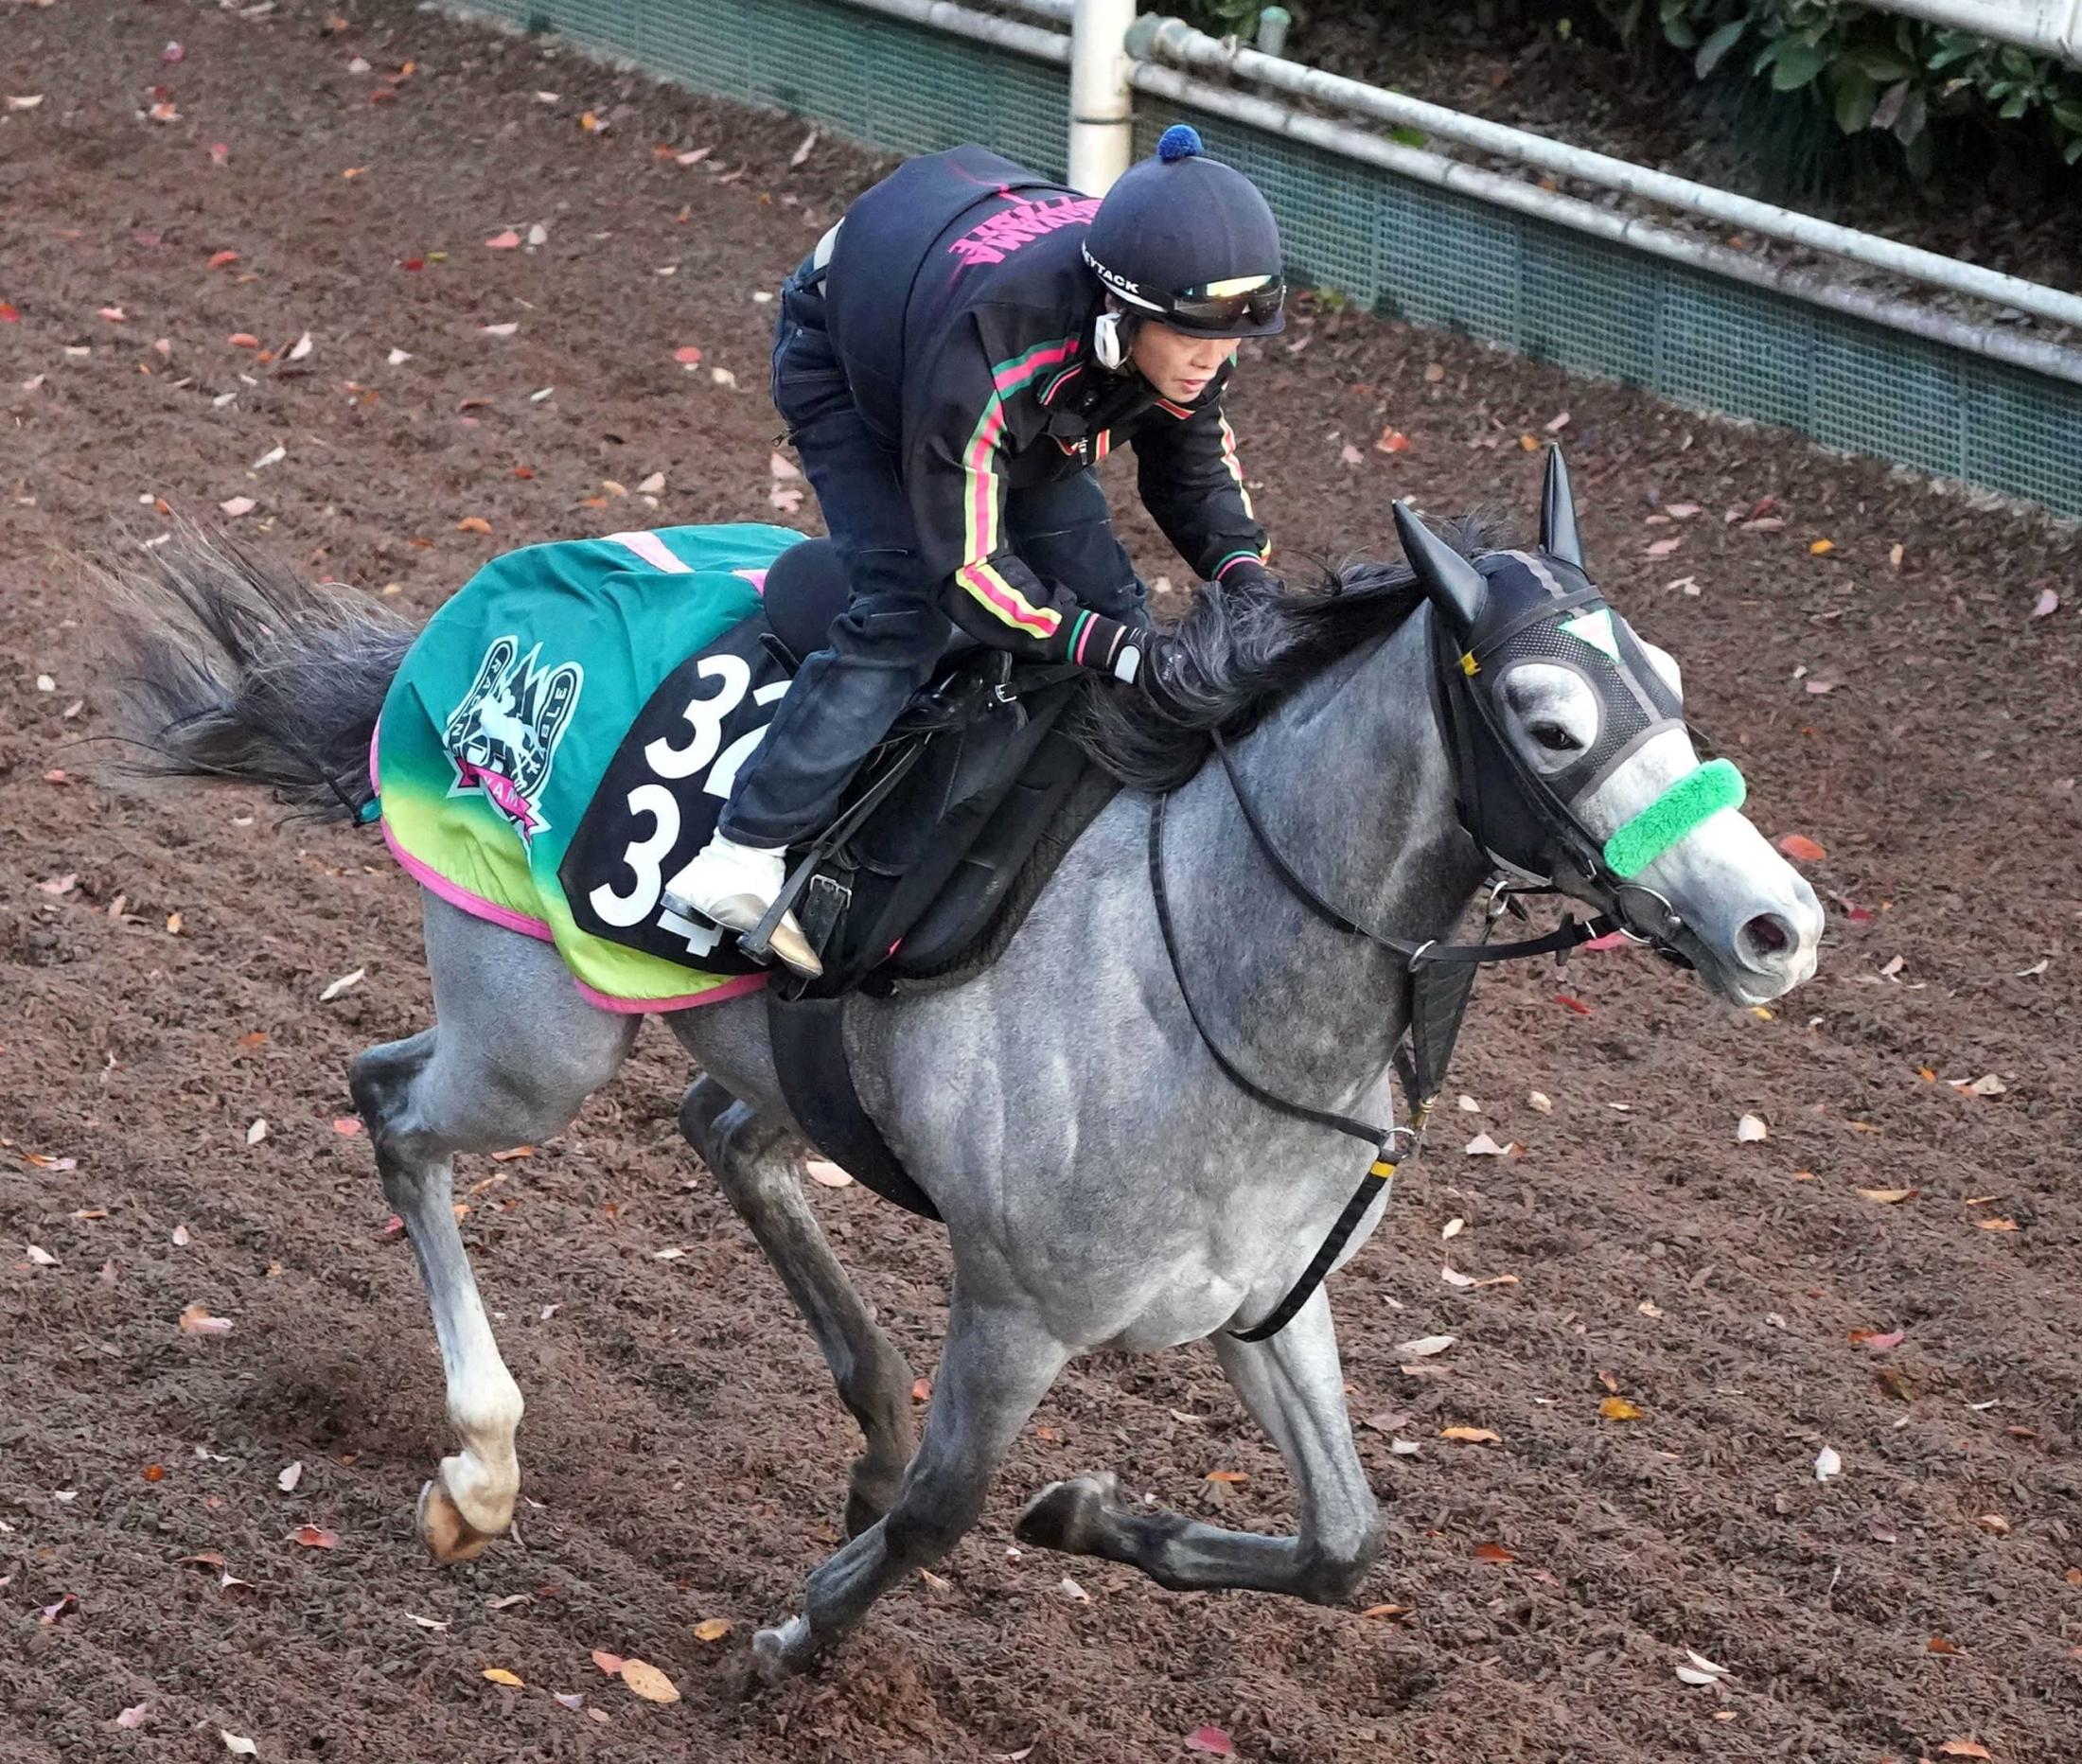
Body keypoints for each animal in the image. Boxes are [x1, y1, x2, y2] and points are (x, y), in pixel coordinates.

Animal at [94, 451, 1822, 1678]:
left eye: (1671, 684)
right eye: (1548, 719)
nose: (1777, 922)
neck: (1212, 964)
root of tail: (480, 615)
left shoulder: (1266, 1299)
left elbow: (1347, 1543)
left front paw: (1092, 1510)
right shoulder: (1018, 1308)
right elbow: (947, 1506)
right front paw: (791, 1638)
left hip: (740, 1051)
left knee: (719, 1131)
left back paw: (843, 1423)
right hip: (536, 1037)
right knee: (392, 1104)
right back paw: (480, 1465)